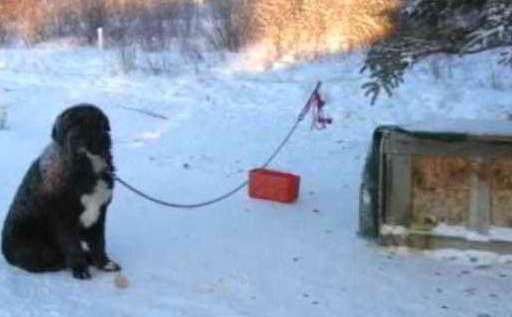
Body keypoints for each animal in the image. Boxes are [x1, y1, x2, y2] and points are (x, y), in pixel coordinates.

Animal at [1, 104, 120, 278]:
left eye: (87, 122)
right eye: (67, 126)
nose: (75, 138)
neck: (85, 168)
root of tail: (5, 253)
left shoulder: (100, 213)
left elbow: (98, 243)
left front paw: (104, 263)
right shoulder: (64, 218)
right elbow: (73, 246)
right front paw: (80, 270)